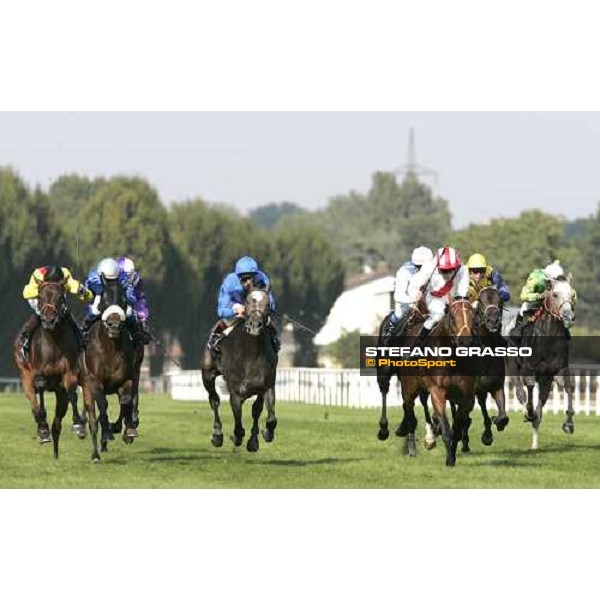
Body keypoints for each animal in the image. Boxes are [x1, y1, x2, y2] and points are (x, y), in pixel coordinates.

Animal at [12, 282, 91, 460]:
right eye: (40, 297)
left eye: (60, 297)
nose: (49, 320)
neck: (53, 340)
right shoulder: (38, 373)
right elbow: (40, 392)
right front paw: (42, 427)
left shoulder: (69, 372)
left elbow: (73, 393)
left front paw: (78, 423)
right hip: (25, 377)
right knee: (34, 403)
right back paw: (43, 429)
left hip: (60, 394)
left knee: (57, 423)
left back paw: (55, 452)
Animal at [200, 284, 278, 450]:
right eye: (247, 302)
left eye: (268, 304)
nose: (255, 326)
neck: (251, 354)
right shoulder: (235, 389)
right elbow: (237, 420)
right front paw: (237, 436)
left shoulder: (266, 386)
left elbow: (266, 416)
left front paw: (261, 437)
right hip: (207, 374)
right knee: (214, 400)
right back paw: (217, 435)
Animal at [396, 298, 476, 466]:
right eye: (452, 317)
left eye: (473, 317)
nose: (465, 341)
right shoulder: (437, 391)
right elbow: (446, 429)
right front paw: (449, 459)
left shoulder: (466, 398)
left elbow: (456, 429)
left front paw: (452, 454)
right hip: (409, 389)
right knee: (409, 412)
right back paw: (413, 447)